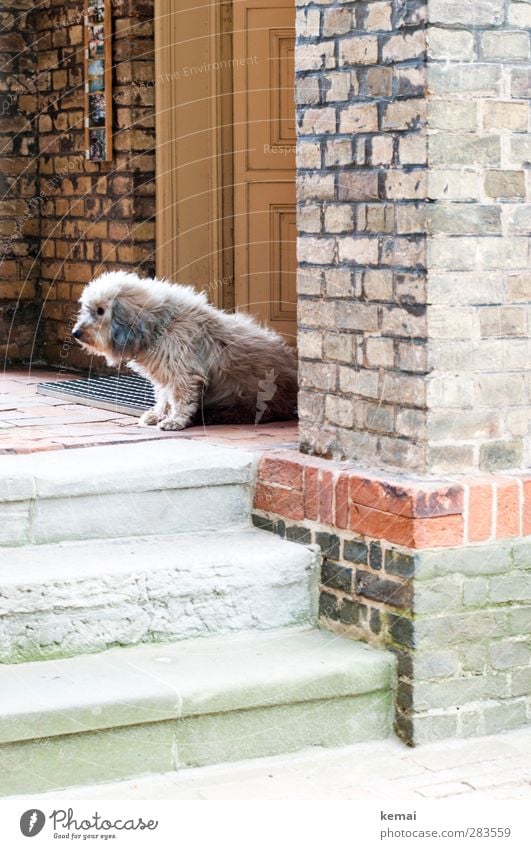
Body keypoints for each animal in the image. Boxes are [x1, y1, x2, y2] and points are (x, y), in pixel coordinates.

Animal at [71, 272, 300, 430]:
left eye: (101, 311)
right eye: (87, 308)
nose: (75, 333)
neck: (160, 324)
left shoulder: (184, 373)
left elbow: (180, 398)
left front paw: (174, 420)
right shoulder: (165, 375)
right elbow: (164, 397)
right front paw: (159, 414)